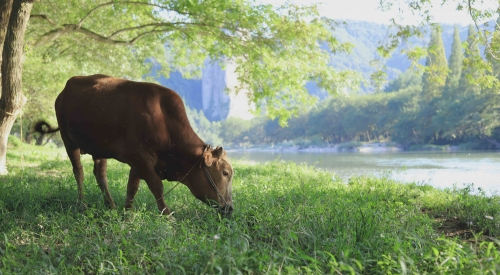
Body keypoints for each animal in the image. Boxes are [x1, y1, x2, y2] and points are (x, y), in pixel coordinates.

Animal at [35, 75, 234, 218]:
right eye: (225, 173)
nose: (230, 208)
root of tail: (66, 88)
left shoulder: (138, 162)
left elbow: (132, 187)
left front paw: (127, 212)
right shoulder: (140, 158)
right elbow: (156, 186)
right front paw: (168, 215)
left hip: (100, 149)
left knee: (100, 174)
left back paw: (110, 205)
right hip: (68, 142)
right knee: (79, 172)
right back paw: (82, 204)